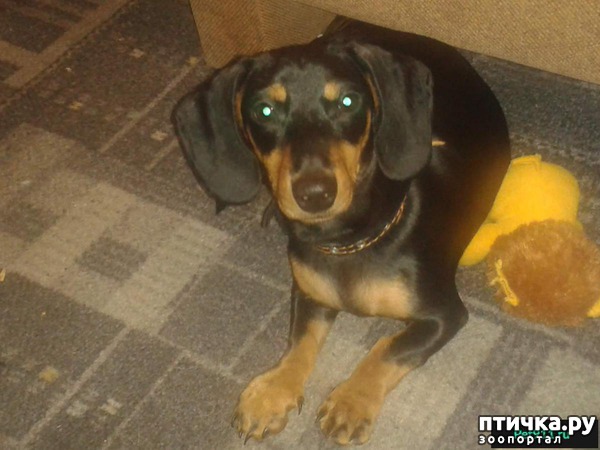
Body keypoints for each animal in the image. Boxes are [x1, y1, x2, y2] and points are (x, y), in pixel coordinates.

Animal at [172, 18, 510, 446]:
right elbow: (299, 343)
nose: (315, 193)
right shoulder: (310, 294)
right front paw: (271, 393)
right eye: (264, 110)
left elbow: (389, 348)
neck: (347, 240)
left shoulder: (445, 314)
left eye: (348, 102)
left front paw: (351, 402)